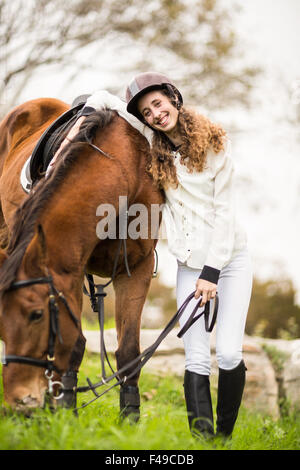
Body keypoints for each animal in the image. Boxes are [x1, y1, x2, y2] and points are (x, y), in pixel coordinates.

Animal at [0, 98, 163, 414]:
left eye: (36, 315)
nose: (19, 401)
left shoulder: (137, 268)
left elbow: (129, 352)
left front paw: (129, 417)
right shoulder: (71, 268)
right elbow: (74, 345)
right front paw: (64, 409)